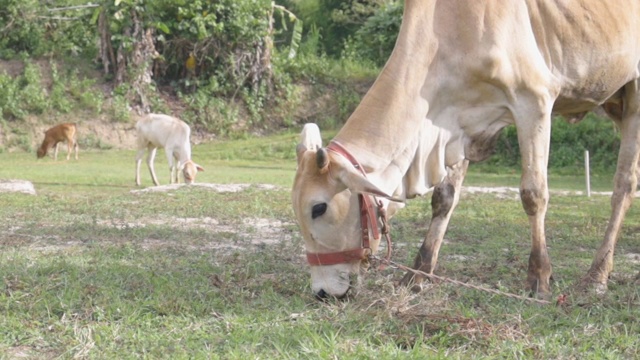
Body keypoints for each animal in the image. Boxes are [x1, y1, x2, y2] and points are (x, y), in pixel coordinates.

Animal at [292, 0, 640, 298]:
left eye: (319, 208)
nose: (321, 292)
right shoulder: (455, 127)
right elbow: (443, 199)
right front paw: (418, 275)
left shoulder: (534, 100)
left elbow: (533, 194)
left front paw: (539, 279)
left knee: (624, 185)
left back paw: (597, 276)